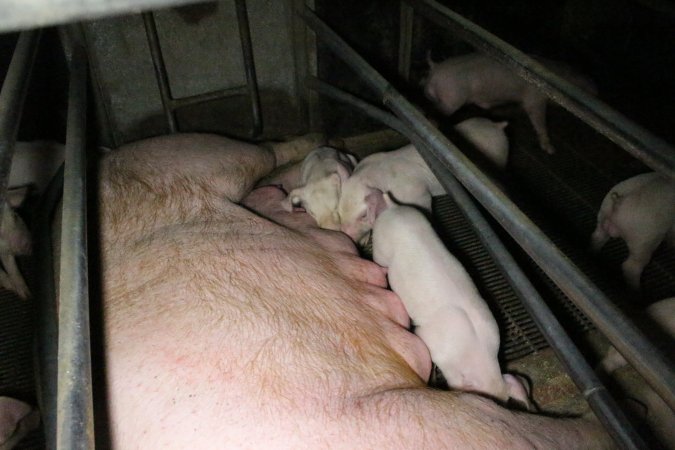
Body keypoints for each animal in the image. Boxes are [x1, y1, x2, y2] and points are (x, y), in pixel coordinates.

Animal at [426, 51, 600, 154]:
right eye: (584, 84)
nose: (598, 92)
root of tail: (435, 70)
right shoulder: (535, 99)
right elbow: (539, 120)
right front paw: (551, 150)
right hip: (452, 98)